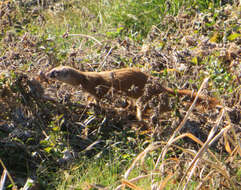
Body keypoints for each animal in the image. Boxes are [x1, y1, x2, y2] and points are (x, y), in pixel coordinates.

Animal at [45, 65, 220, 118]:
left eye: (54, 72)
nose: (46, 74)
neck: (86, 79)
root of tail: (158, 84)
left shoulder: (99, 87)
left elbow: (99, 97)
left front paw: (93, 104)